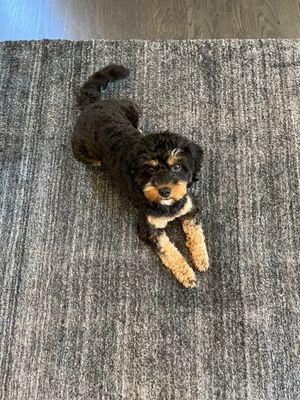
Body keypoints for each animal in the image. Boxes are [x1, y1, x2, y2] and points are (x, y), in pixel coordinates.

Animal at [72, 64, 209, 286]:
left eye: (177, 167)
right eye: (150, 169)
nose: (164, 191)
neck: (168, 206)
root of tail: (93, 105)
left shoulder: (190, 207)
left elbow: (196, 233)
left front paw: (202, 259)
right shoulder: (149, 229)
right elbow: (170, 251)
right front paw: (187, 274)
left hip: (132, 109)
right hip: (86, 154)